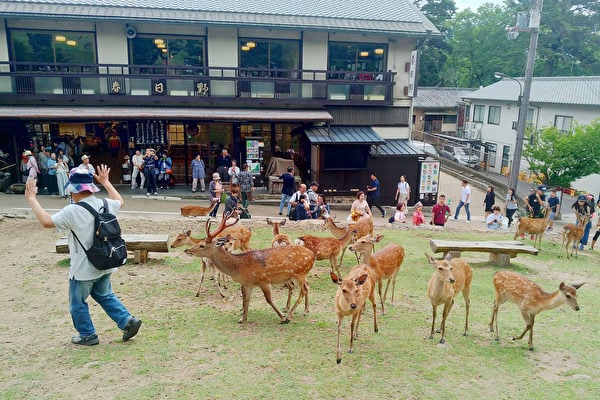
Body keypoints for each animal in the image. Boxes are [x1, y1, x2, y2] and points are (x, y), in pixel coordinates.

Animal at [185, 211, 316, 324]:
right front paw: (243, 318)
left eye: (202, 245)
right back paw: (305, 310)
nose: (187, 250)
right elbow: (246, 299)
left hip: (299, 274)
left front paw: (282, 317)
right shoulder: (248, 283)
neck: (239, 267)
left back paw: (289, 316)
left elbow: (268, 300)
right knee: (306, 287)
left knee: (303, 291)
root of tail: (312, 255)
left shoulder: (264, 281)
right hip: (301, 275)